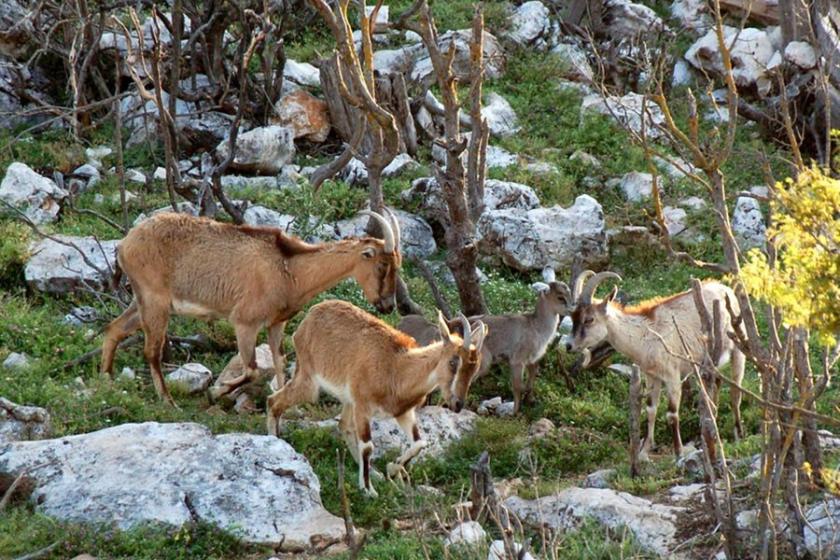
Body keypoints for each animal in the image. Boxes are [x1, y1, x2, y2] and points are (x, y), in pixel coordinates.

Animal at [101, 209, 404, 402]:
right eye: (381, 265)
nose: (387, 305)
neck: (290, 269)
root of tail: (125, 243)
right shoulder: (245, 322)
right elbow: (252, 369)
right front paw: (216, 392)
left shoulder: (276, 324)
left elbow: (280, 363)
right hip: (156, 302)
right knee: (151, 351)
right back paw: (167, 401)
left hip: (142, 301)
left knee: (114, 329)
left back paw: (107, 381)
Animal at [266, 300, 488, 496]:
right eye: (453, 362)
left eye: (475, 367)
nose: (457, 404)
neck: (397, 368)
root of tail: (309, 318)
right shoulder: (363, 406)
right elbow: (368, 446)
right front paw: (368, 490)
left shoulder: (403, 412)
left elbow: (419, 443)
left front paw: (392, 468)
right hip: (310, 381)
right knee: (273, 400)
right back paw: (275, 441)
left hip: (347, 400)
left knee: (343, 425)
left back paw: (373, 472)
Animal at [400, 266, 576, 416]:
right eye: (560, 297)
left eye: (568, 293)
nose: (573, 308)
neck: (537, 327)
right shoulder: (517, 360)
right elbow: (517, 387)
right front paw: (514, 413)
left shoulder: (533, 361)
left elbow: (530, 384)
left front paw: (530, 402)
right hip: (484, 361)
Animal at [568, 272, 744, 460]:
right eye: (573, 318)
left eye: (589, 319)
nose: (568, 345)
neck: (645, 335)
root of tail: (726, 289)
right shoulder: (652, 376)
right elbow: (651, 409)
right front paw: (645, 450)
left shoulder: (672, 376)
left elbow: (672, 414)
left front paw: (678, 452)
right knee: (716, 384)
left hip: (738, 349)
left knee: (735, 391)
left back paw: (737, 434)